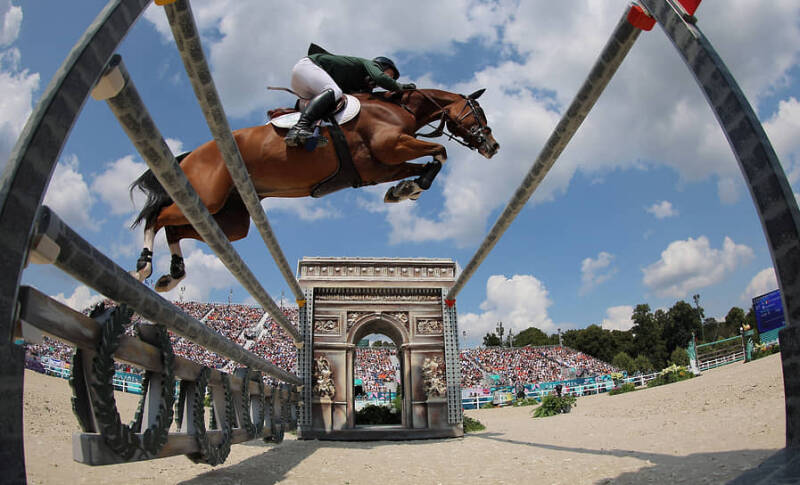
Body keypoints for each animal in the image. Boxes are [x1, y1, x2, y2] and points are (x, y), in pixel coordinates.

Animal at [128, 88, 496, 292]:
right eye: (477, 111)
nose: (494, 146)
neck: (396, 109)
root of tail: (193, 153)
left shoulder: (380, 166)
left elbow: (427, 163)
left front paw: (405, 189)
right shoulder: (390, 147)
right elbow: (440, 151)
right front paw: (410, 188)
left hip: (230, 220)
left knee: (177, 227)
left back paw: (172, 276)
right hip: (210, 196)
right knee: (158, 216)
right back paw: (144, 264)